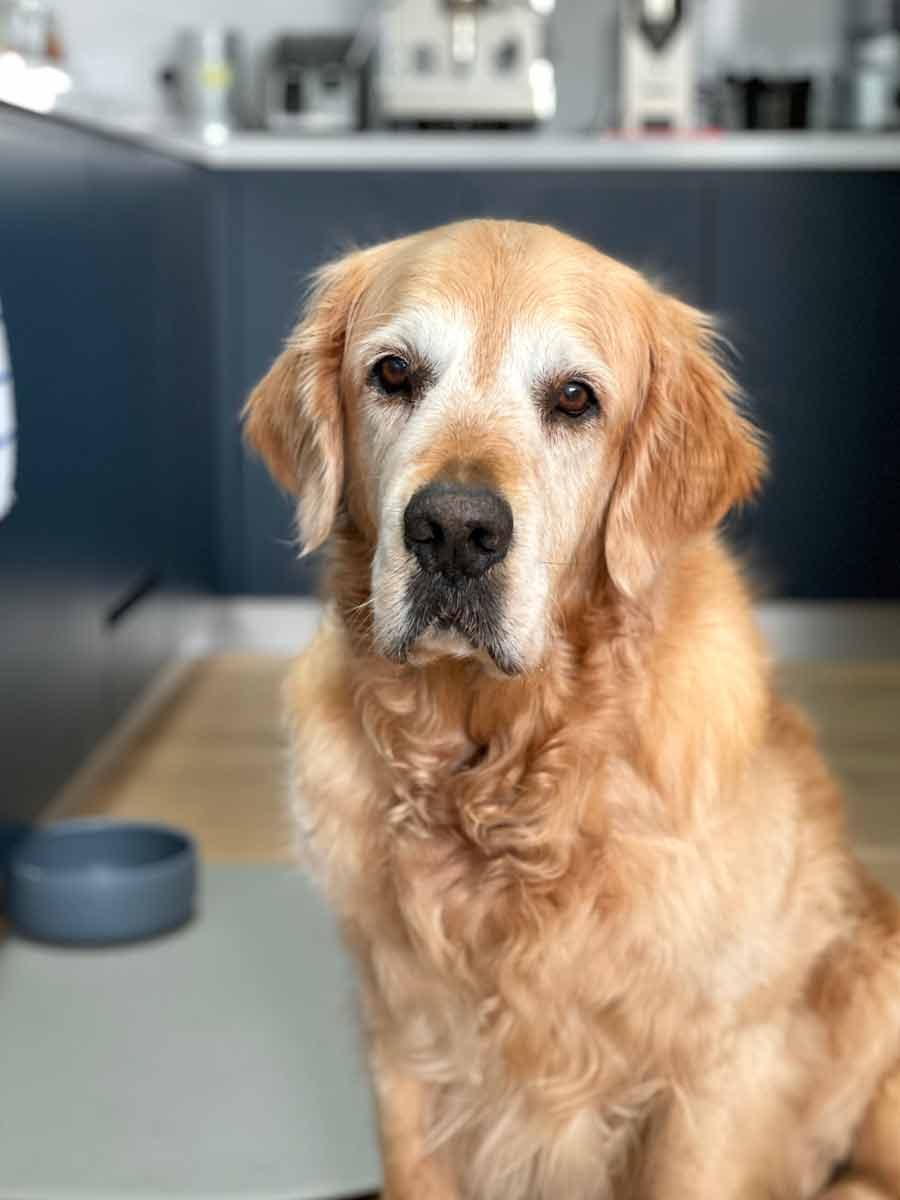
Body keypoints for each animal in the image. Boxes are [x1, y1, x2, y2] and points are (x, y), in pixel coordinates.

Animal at [244, 219, 900, 1200]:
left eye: (575, 398)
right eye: (393, 374)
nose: (455, 532)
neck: (503, 774)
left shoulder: (719, 1071)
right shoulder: (404, 1044)